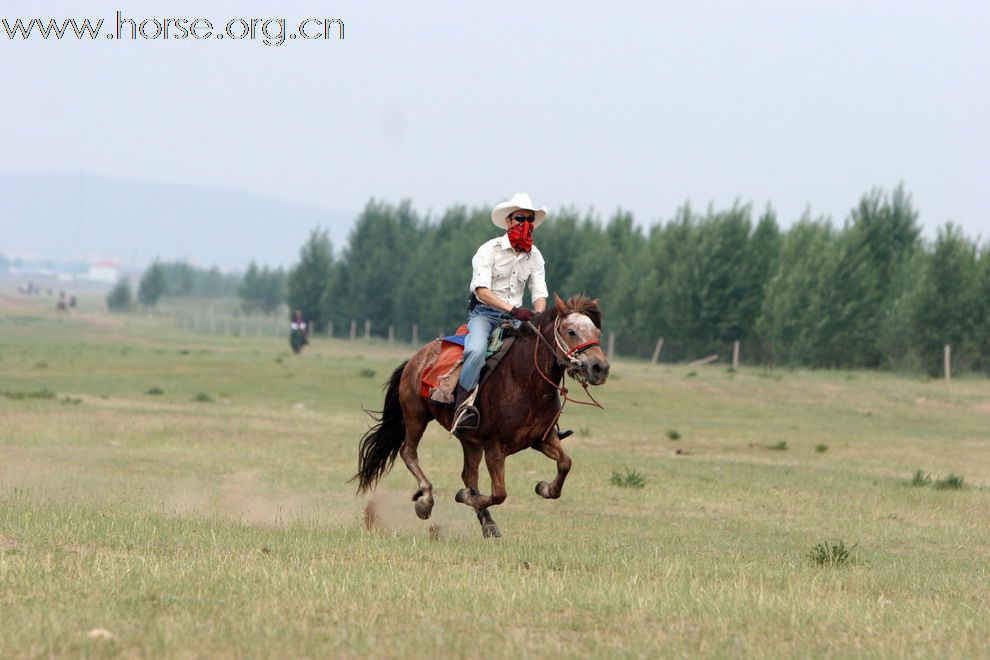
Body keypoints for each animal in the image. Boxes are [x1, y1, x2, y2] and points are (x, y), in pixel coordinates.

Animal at [348, 294, 612, 536]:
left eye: (597, 331)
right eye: (571, 331)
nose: (600, 368)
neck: (524, 380)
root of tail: (416, 359)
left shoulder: (542, 438)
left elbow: (565, 464)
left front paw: (543, 488)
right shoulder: (495, 446)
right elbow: (499, 493)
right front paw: (463, 497)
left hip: (469, 441)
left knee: (468, 475)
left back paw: (487, 521)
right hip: (416, 416)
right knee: (409, 453)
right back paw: (426, 501)